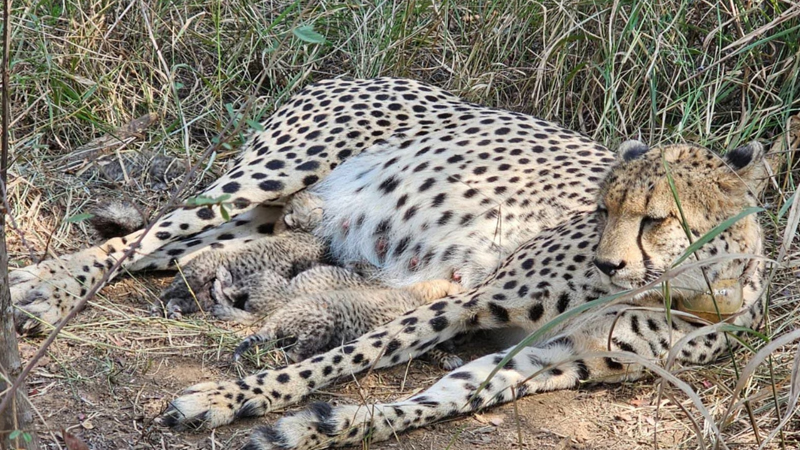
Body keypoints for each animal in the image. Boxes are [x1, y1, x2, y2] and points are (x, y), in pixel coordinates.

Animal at [8, 78, 772, 449]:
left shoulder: (550, 360)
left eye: (656, 218)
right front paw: (230, 399)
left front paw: (318, 428)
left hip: (267, 217)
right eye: (602, 208)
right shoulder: (470, 300)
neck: (688, 292)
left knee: (179, 253)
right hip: (268, 175)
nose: (610, 265)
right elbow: (349, 356)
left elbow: (435, 400)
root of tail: (351, 73)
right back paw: (42, 289)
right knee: (140, 238)